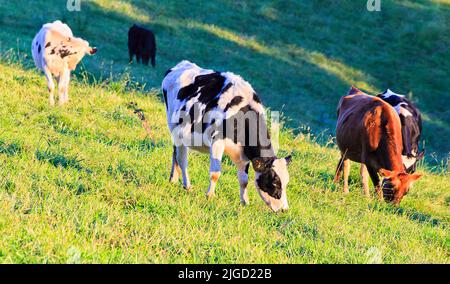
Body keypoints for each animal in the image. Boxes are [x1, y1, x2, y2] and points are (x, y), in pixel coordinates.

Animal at [162, 60, 292, 211]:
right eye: (275, 183)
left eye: (286, 182)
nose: (284, 209)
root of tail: (182, 65)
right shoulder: (217, 142)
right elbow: (215, 174)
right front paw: (210, 196)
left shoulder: (243, 154)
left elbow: (244, 180)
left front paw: (244, 202)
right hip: (175, 129)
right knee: (182, 160)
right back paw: (187, 185)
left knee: (175, 155)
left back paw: (173, 180)